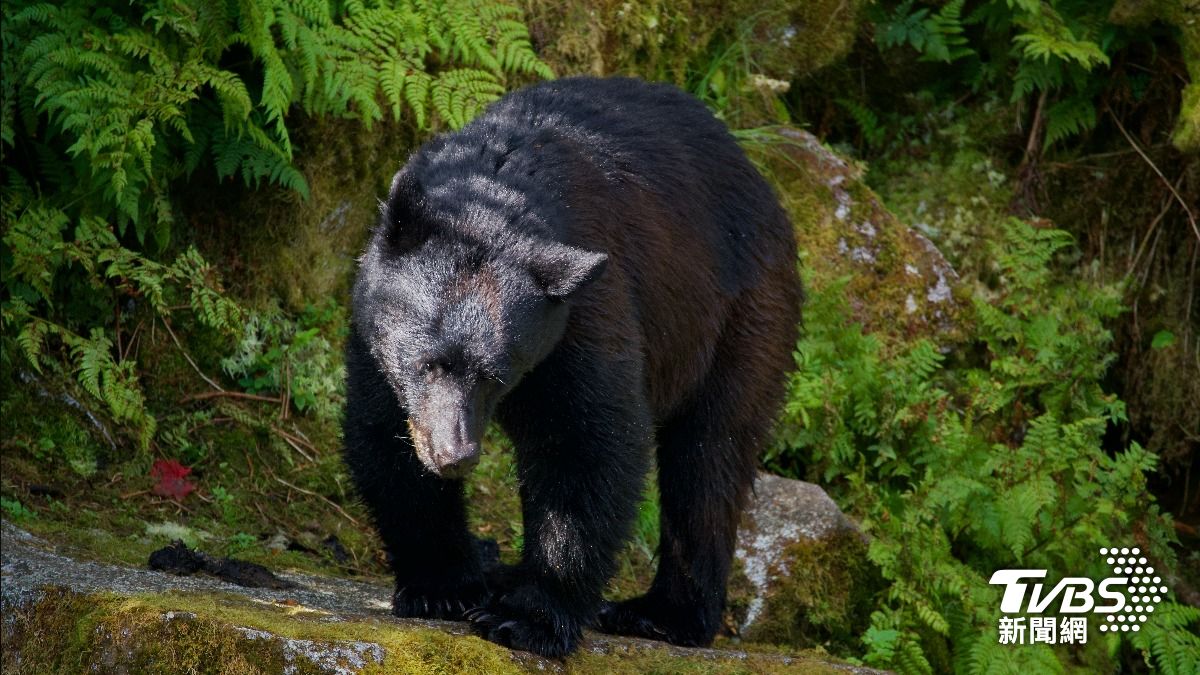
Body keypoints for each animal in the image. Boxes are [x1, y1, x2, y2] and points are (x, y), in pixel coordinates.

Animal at [342, 76, 801, 658]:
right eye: (428, 363)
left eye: (496, 375)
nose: (455, 455)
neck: (493, 199)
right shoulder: (375, 341)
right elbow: (383, 434)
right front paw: (442, 585)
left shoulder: (583, 314)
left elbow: (586, 444)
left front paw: (527, 619)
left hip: (740, 317)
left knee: (708, 458)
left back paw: (662, 614)